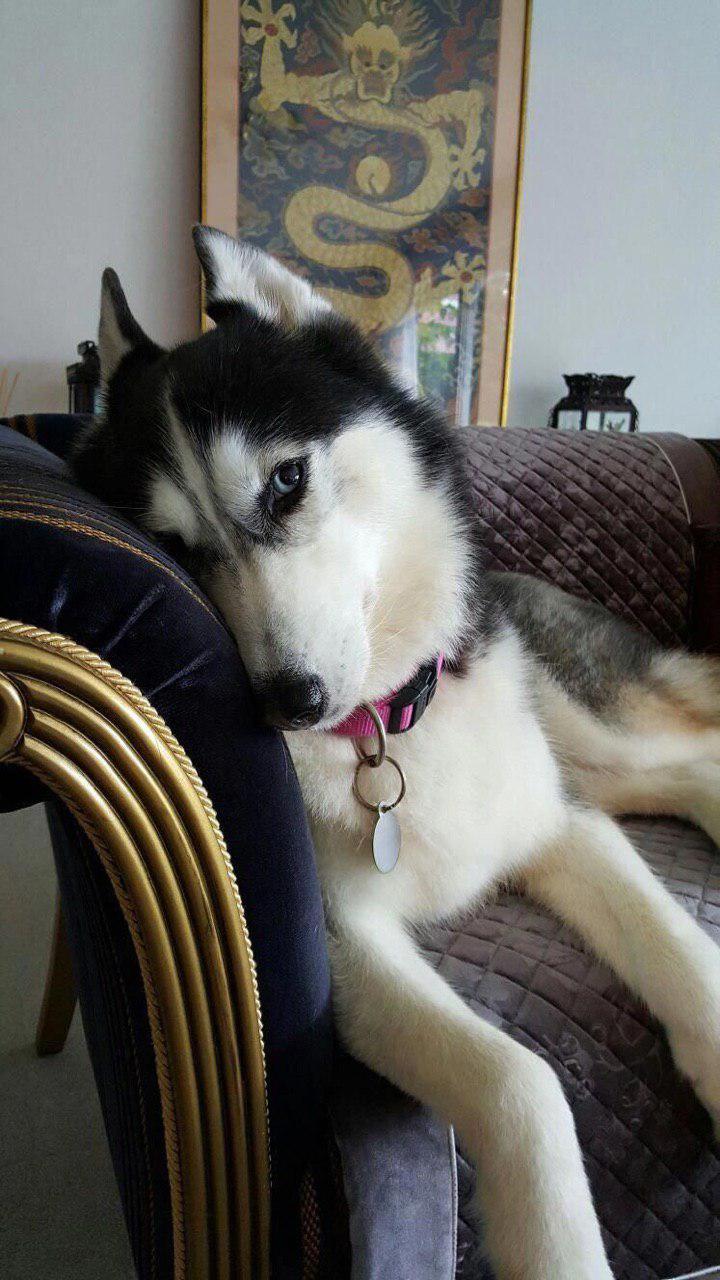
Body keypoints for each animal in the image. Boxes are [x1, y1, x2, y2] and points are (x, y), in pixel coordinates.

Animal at [74, 225, 720, 1274]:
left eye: (286, 480)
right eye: (179, 548)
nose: (290, 700)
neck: (385, 728)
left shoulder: (563, 827)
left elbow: (679, 948)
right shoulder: (351, 951)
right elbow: (521, 1080)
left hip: (587, 731)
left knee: (690, 756)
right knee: (690, 772)